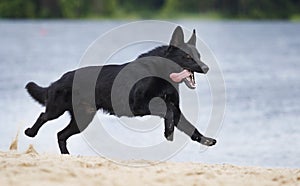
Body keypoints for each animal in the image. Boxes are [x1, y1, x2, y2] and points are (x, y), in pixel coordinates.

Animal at [24, 25, 216, 154]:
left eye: (199, 56)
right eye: (188, 57)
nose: (206, 68)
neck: (160, 73)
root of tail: (59, 80)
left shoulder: (175, 109)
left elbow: (189, 126)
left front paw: (204, 139)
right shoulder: (141, 104)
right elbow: (167, 110)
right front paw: (168, 131)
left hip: (82, 120)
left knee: (60, 135)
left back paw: (66, 156)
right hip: (57, 110)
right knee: (43, 116)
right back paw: (30, 132)